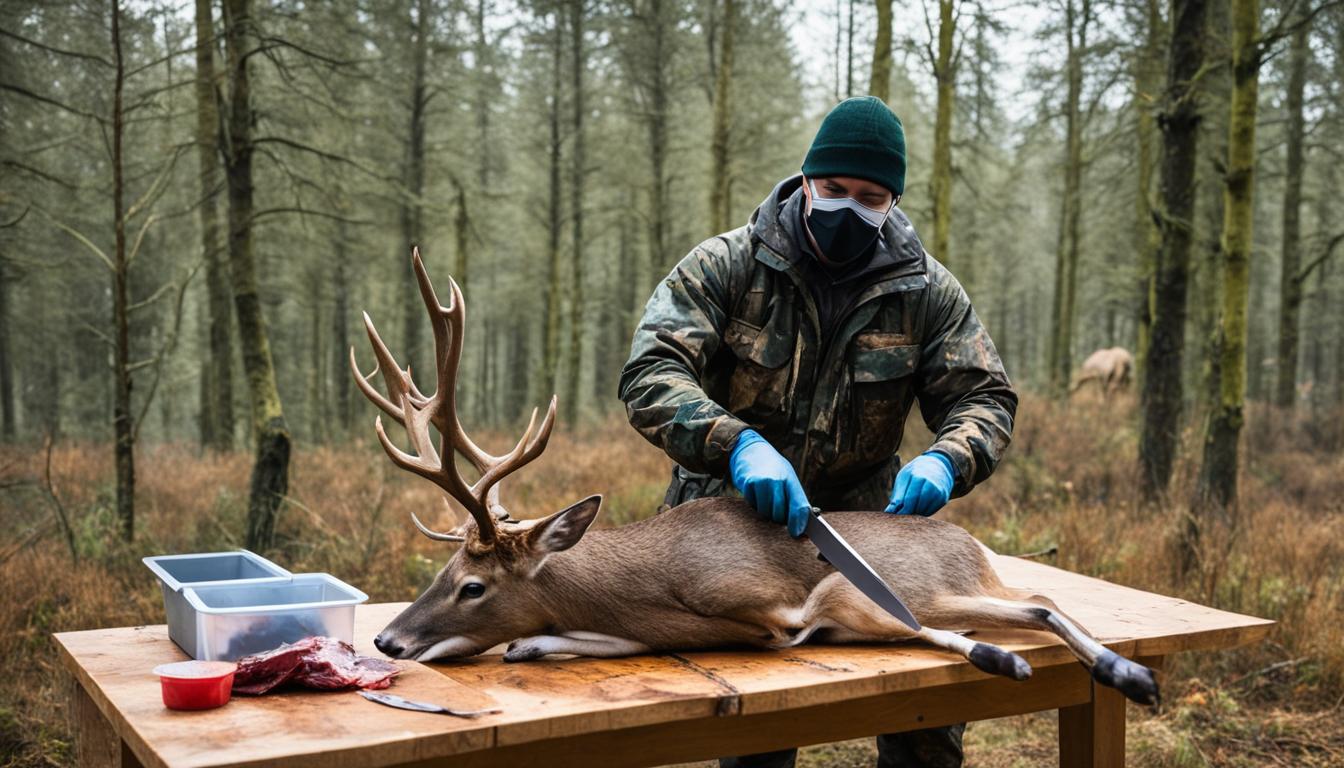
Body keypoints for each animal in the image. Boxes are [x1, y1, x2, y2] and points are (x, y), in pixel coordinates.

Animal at [352, 252, 1161, 710]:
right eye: (440, 570)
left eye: (473, 586)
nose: (388, 639)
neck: (649, 583)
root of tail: (975, 548)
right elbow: (574, 642)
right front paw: (536, 644)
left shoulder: (776, 606)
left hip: (914, 587)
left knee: (1033, 603)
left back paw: (1119, 672)